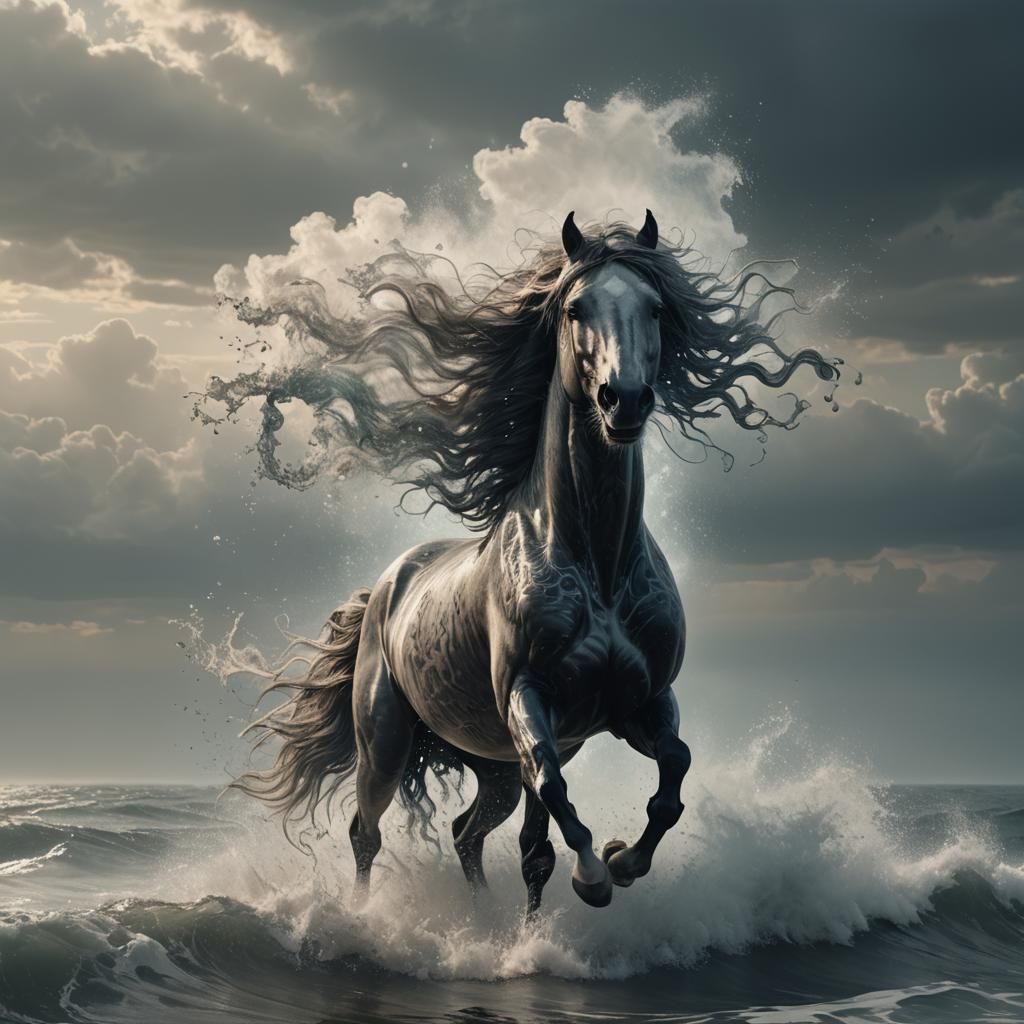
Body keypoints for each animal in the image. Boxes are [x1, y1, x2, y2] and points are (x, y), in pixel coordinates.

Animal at [222, 209, 839, 915]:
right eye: (575, 308)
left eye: (656, 308)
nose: (624, 400)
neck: (597, 566)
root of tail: (386, 585)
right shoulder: (530, 700)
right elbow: (551, 808)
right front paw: (593, 875)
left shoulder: (640, 703)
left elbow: (673, 774)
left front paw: (623, 860)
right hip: (386, 741)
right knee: (367, 832)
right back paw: (363, 915)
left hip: (490, 766)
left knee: (466, 831)